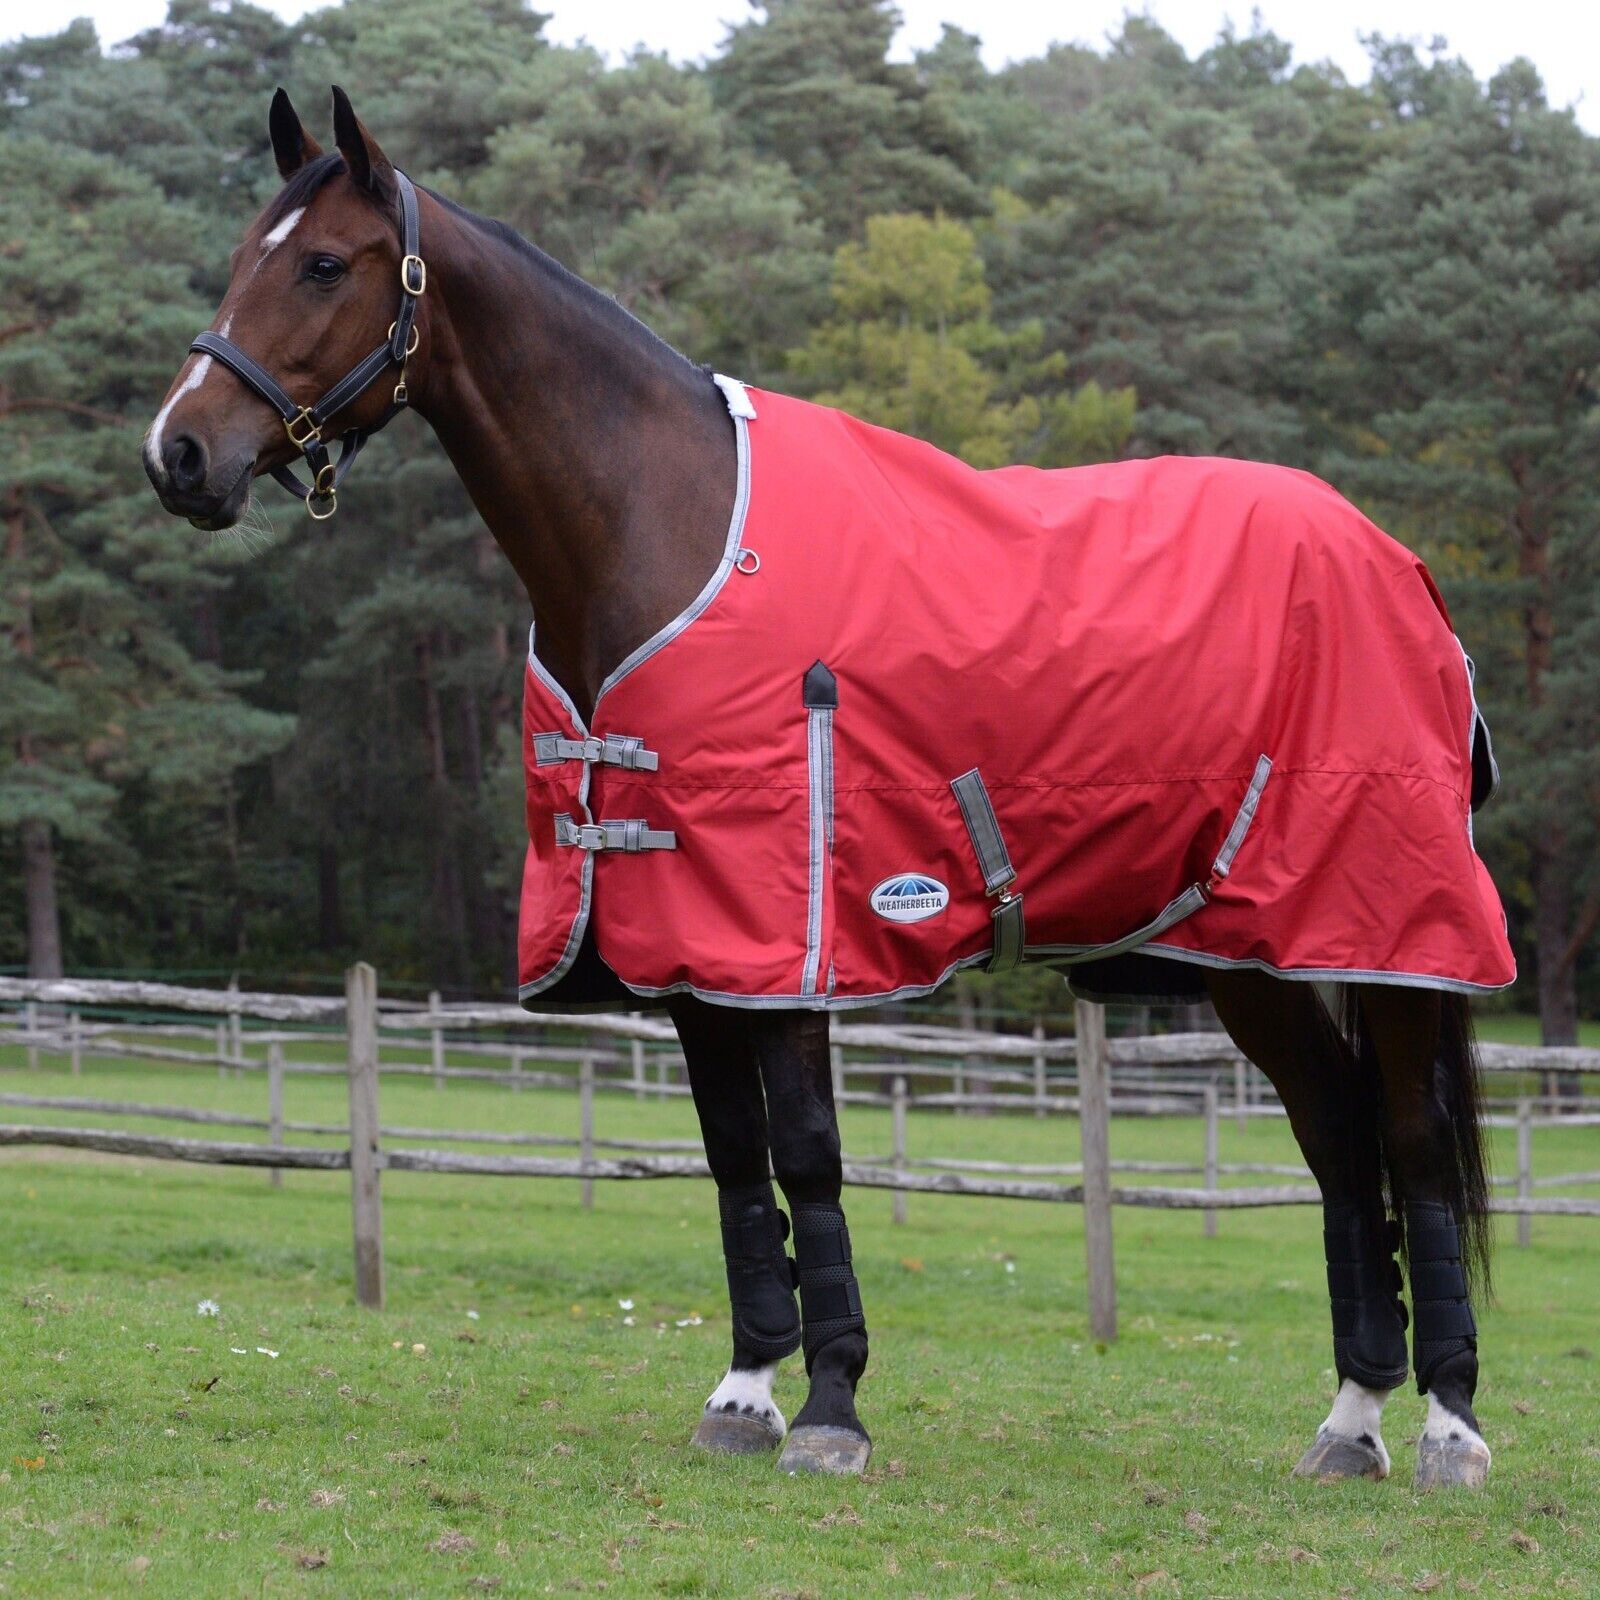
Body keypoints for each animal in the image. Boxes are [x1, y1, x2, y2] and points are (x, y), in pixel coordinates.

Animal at [144, 87, 1503, 1487]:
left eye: (321, 263)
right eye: (245, 252)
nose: (178, 452)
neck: (667, 523)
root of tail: (1396, 563)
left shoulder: (789, 932)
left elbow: (807, 1151)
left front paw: (832, 1406)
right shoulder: (684, 937)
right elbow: (735, 1160)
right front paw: (744, 1392)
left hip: (1391, 935)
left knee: (1406, 1142)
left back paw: (1448, 1424)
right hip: (1249, 954)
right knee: (1338, 1143)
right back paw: (1350, 1419)